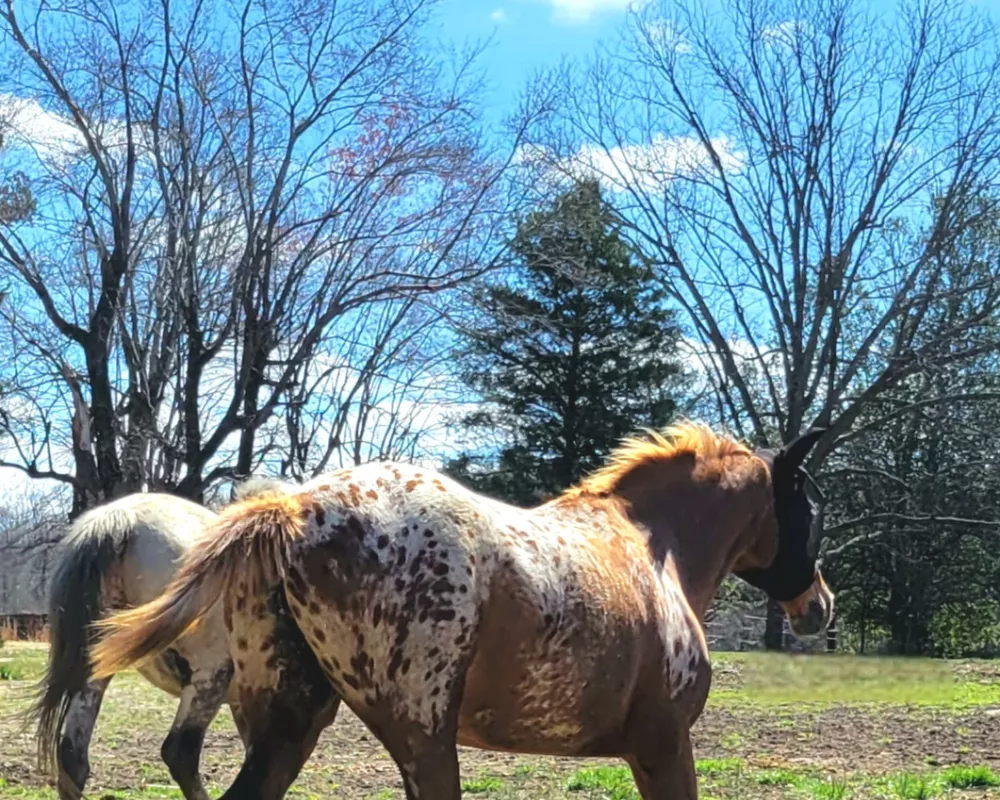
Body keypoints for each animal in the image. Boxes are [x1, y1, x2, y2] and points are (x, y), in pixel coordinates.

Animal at [88, 422, 836, 796]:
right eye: (810, 503)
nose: (820, 606)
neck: (655, 546)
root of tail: (294, 508)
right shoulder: (663, 744)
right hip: (421, 739)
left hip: (286, 725)